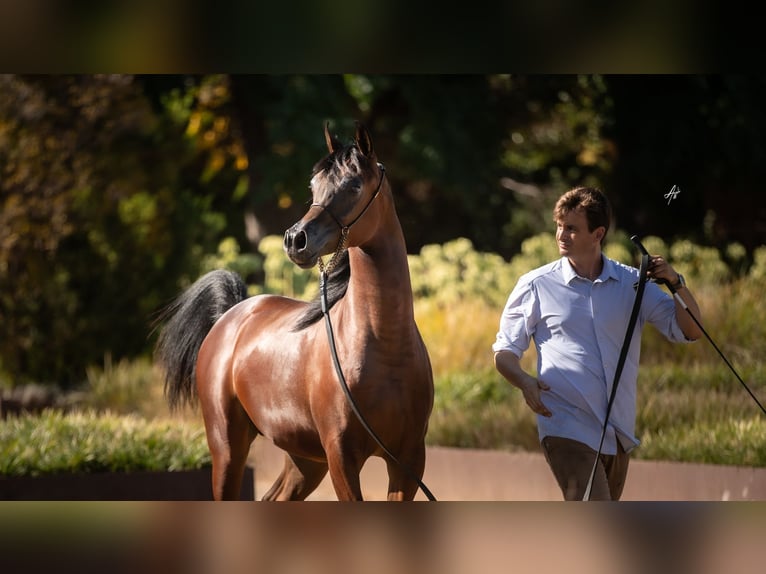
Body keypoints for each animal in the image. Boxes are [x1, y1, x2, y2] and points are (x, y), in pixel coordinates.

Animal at [153, 122, 436, 504]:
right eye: (313, 186)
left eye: (354, 185)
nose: (295, 240)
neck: (385, 348)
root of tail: (231, 314)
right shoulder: (341, 456)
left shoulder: (408, 460)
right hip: (228, 448)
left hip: (305, 459)